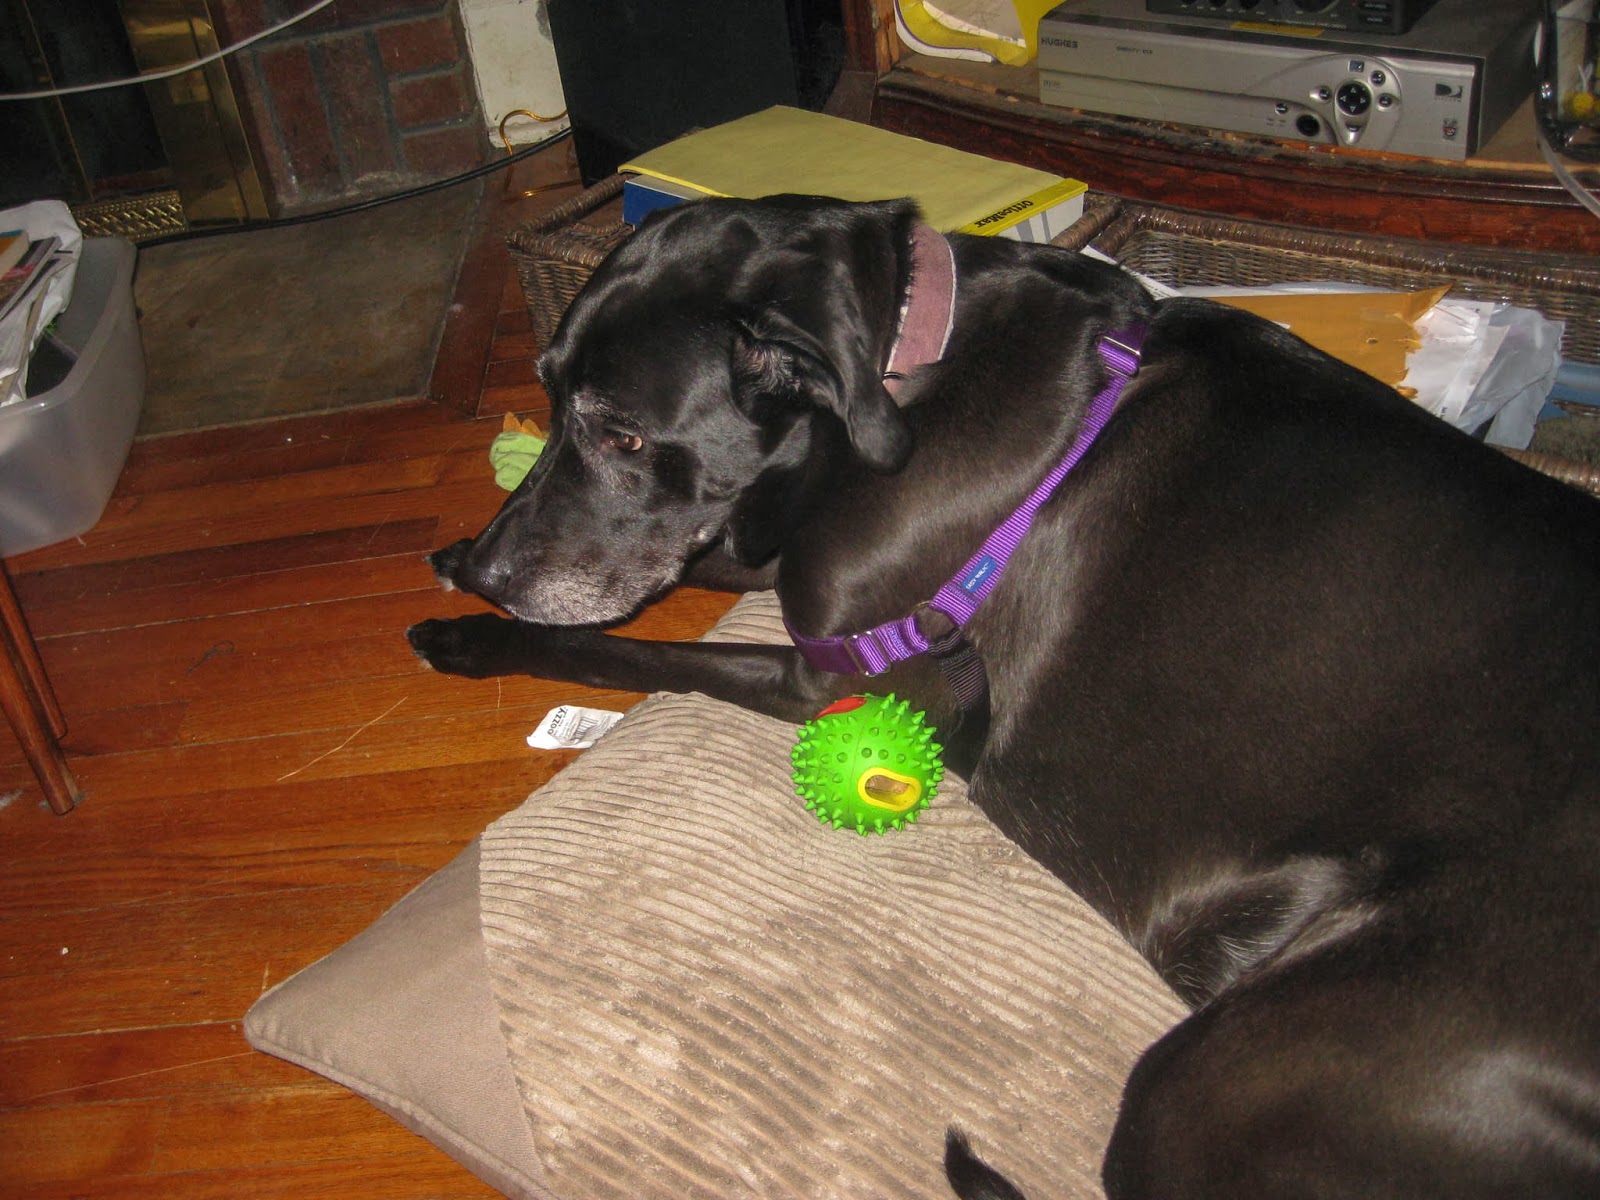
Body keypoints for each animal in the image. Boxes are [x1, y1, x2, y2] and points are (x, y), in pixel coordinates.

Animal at [408, 194, 1600, 1198]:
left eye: (622, 433)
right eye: (549, 395)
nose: (498, 570)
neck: (897, 374)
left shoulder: (836, 672)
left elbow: (624, 652)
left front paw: (472, 633)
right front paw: (462, 559)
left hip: (1228, 1079)